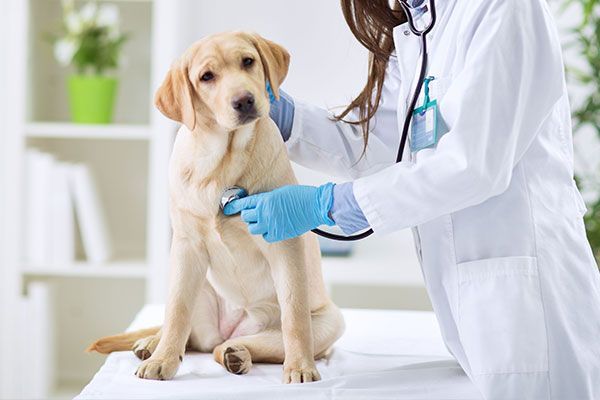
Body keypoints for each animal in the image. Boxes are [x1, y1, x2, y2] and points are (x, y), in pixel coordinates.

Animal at [86, 32, 344, 384]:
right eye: (206, 77)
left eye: (248, 61)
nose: (244, 100)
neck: (222, 160)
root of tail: (230, 330)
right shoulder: (186, 245)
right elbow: (177, 311)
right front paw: (163, 359)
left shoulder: (284, 246)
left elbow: (294, 318)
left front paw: (301, 366)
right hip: (199, 286)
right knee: (187, 332)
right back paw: (152, 344)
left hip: (331, 321)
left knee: (231, 346)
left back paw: (237, 355)